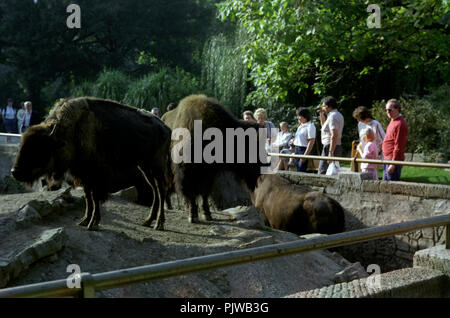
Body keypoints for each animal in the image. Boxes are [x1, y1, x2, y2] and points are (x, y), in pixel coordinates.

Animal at [11, 97, 172, 231]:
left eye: (38, 149)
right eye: (21, 146)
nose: (14, 172)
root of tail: (166, 127)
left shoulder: (95, 176)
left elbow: (95, 198)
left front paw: (93, 223)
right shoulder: (83, 176)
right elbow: (88, 197)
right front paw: (84, 221)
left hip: (156, 166)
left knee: (161, 190)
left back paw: (159, 224)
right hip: (145, 167)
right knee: (156, 190)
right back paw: (148, 221)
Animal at [163, 94, 266, 222]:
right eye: (251, 147)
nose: (262, 168)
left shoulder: (209, 174)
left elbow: (204, 193)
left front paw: (207, 214)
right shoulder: (186, 173)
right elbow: (191, 193)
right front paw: (193, 216)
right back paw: (168, 206)